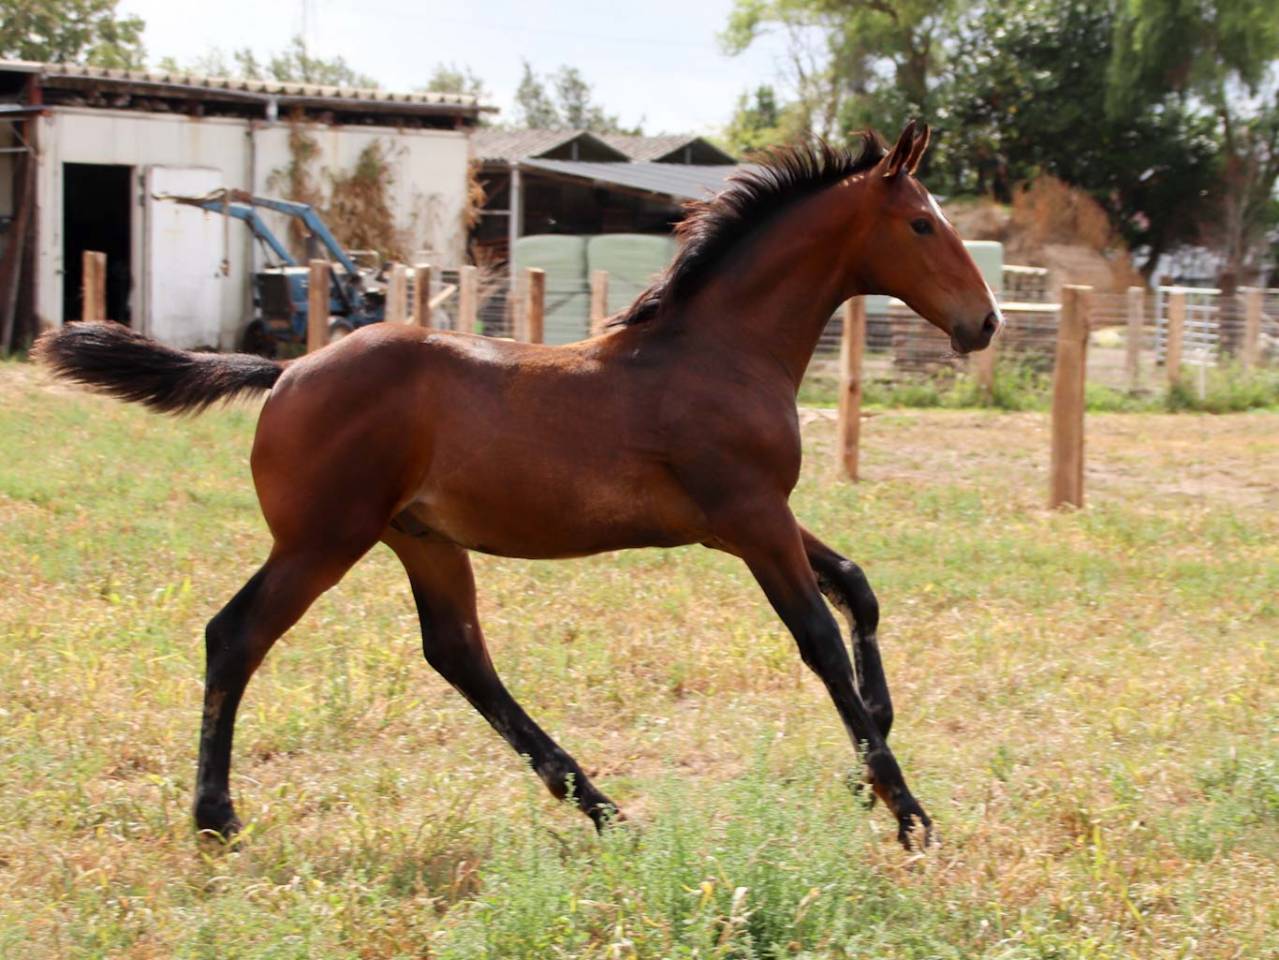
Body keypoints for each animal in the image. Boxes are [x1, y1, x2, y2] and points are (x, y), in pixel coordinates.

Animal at [36, 121, 999, 850]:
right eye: (921, 223)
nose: (983, 322)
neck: (719, 350)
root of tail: (284, 370)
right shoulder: (751, 518)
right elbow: (819, 638)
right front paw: (904, 809)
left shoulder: (752, 518)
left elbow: (856, 590)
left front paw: (867, 763)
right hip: (323, 541)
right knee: (235, 636)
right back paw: (216, 817)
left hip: (419, 539)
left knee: (458, 654)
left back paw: (599, 805)